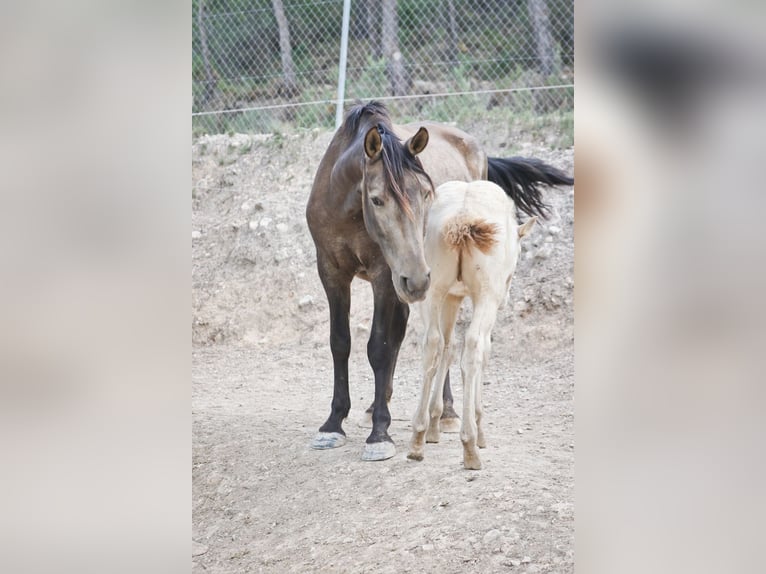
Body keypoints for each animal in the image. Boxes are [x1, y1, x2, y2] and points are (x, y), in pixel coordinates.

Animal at [412, 181, 536, 472]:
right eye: (518, 256)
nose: (507, 298)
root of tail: (463, 217)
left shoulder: (452, 296)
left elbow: (447, 347)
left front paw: (434, 424)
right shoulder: (482, 299)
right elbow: (481, 352)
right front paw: (479, 431)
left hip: (433, 288)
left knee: (433, 343)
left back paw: (418, 437)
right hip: (487, 295)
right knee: (473, 345)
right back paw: (469, 445)